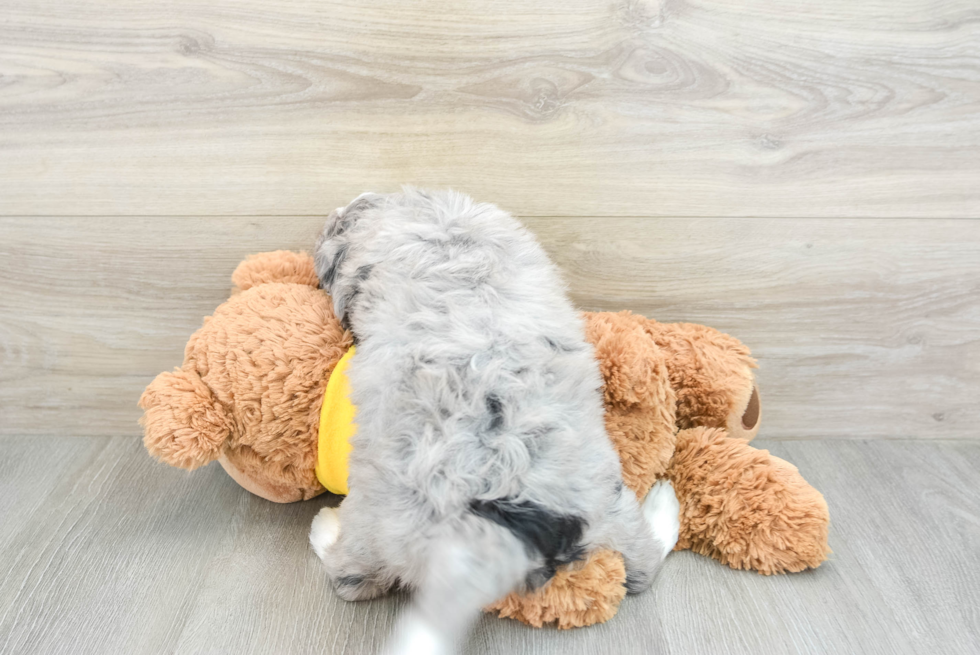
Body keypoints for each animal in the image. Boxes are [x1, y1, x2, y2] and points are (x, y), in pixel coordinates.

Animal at [310, 190, 676, 655]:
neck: (444, 233)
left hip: (372, 521)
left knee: (350, 577)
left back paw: (324, 528)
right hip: (607, 500)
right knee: (642, 567)